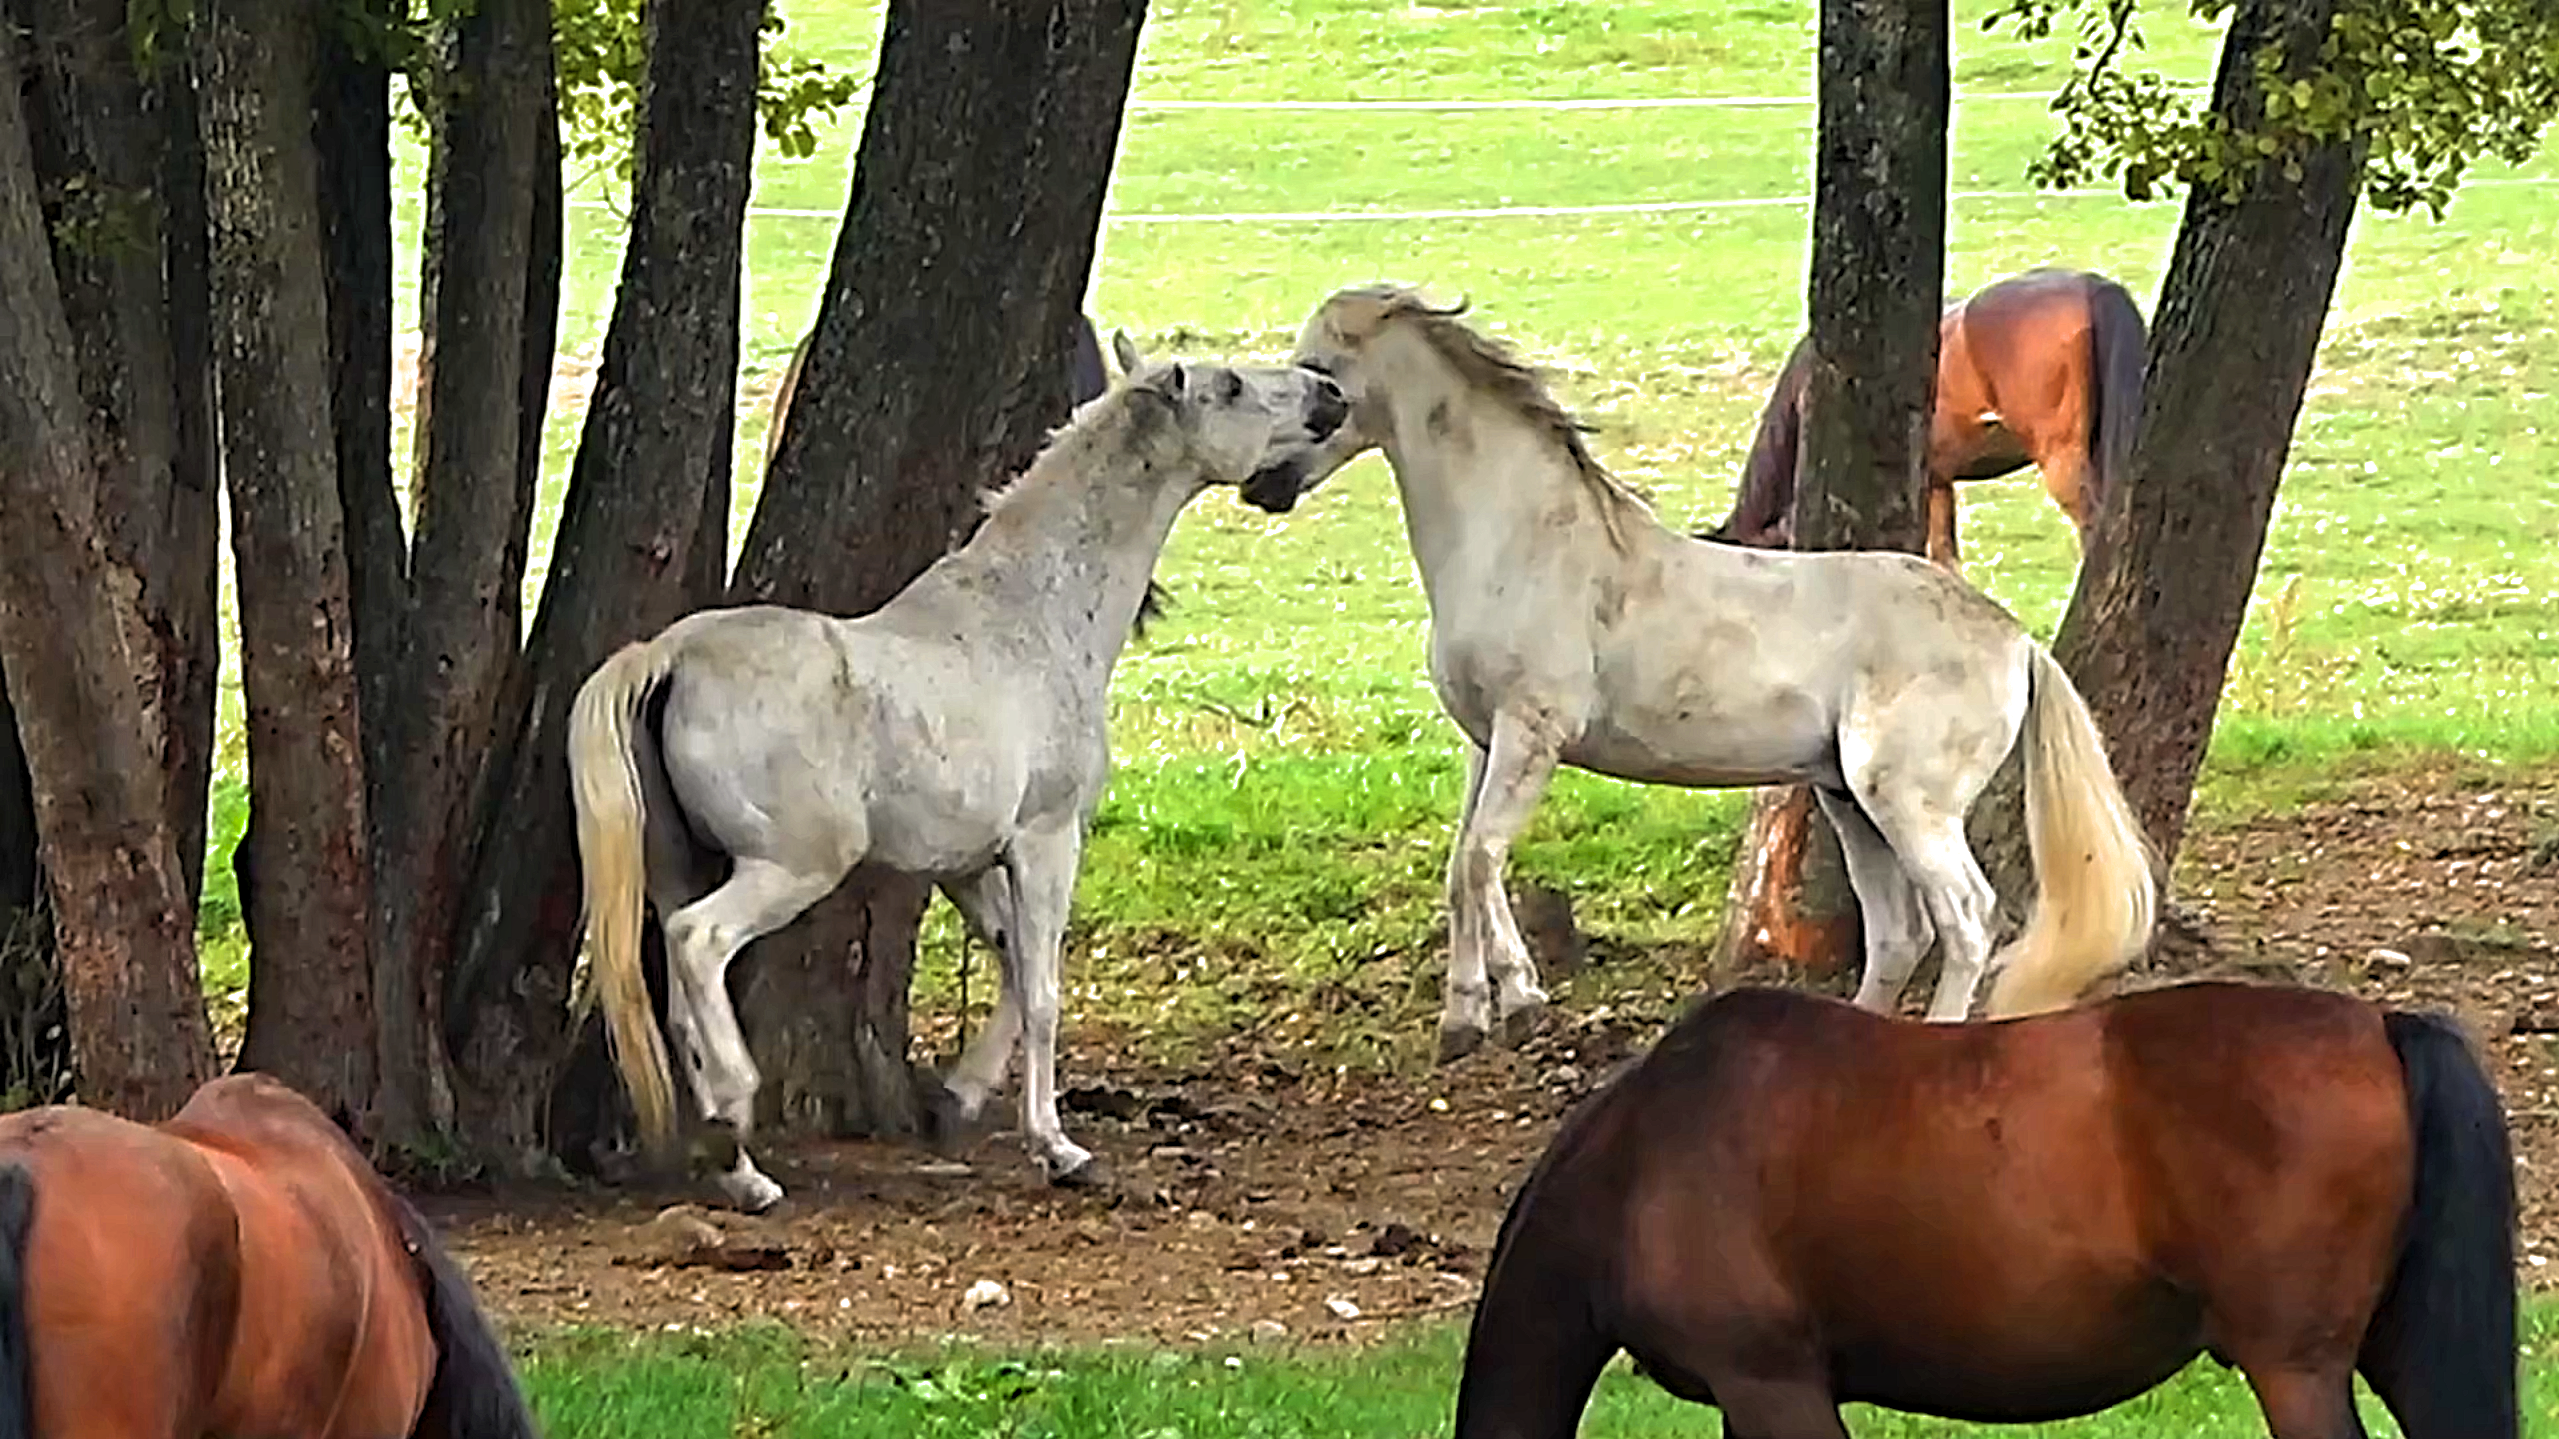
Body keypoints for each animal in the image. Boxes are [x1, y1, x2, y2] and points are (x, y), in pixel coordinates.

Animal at [569, 340, 1349, 1210]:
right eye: (1232, 387)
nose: (1328, 394)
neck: (1030, 618)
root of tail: (669, 656)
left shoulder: (968, 865)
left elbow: (1011, 966)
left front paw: (959, 1096)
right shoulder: (1046, 840)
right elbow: (1043, 990)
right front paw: (1057, 1147)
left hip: (680, 865)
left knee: (674, 992)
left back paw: (739, 1168)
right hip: (791, 866)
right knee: (699, 942)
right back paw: (734, 1112)